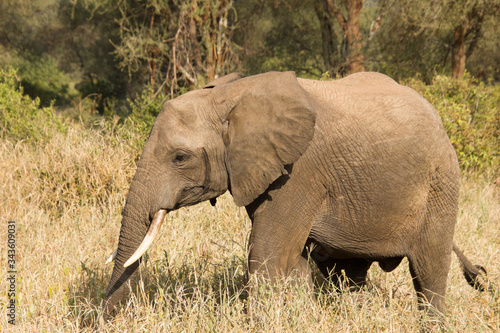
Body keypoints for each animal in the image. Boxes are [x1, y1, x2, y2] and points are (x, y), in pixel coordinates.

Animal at [102, 71, 484, 318]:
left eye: (180, 158)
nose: (103, 318)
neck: (233, 94)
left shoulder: (299, 172)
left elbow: (268, 255)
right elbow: (293, 262)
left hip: (441, 183)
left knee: (429, 271)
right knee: (350, 274)